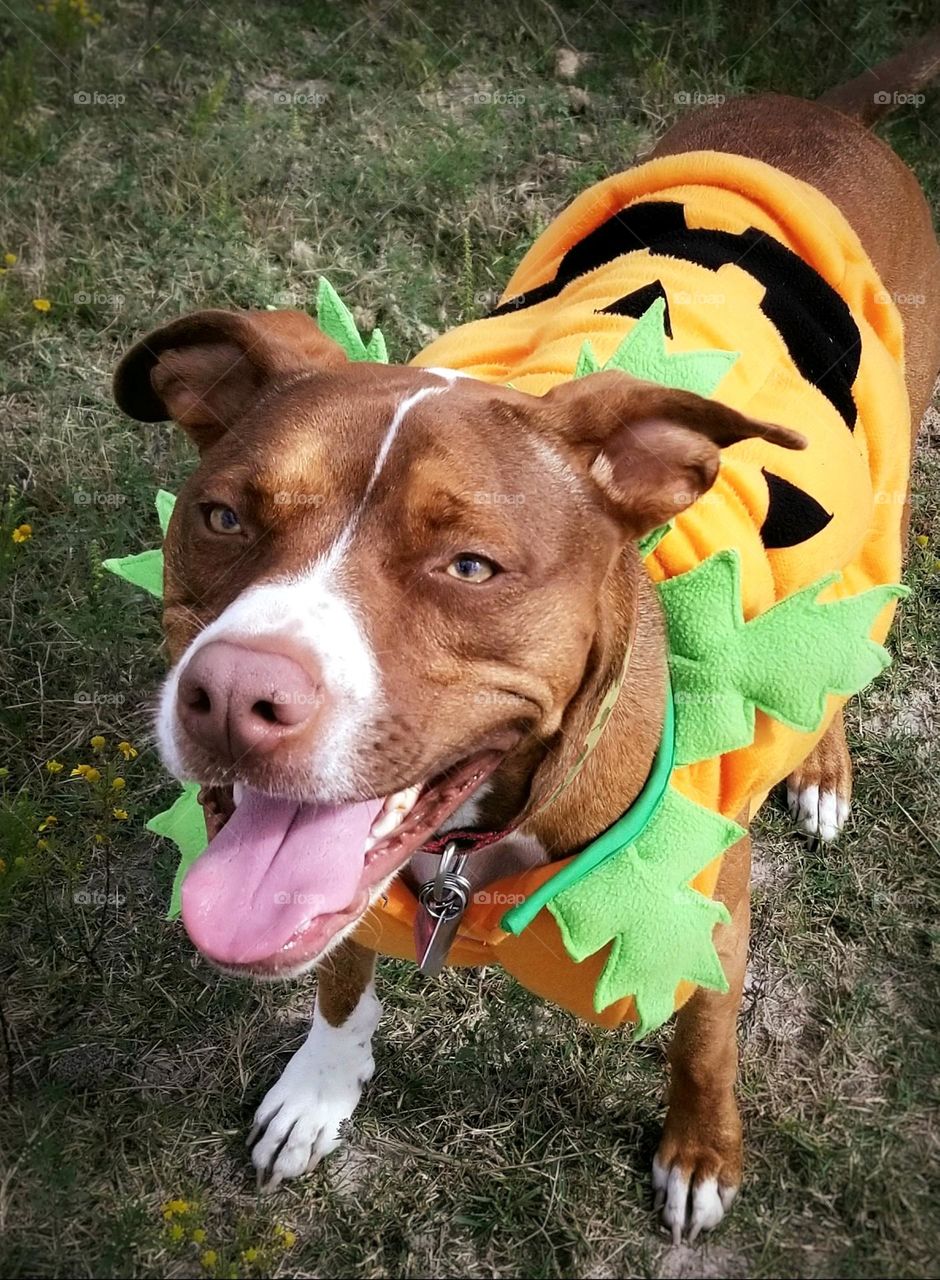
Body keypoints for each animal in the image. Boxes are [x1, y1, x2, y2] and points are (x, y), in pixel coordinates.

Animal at [113, 35, 937, 1244]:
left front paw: (700, 1153)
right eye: (220, 516)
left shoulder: (713, 908)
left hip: (884, 498)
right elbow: (338, 976)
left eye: (470, 567)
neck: (480, 843)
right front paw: (320, 1089)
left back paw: (821, 763)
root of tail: (819, 112)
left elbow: (705, 1039)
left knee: (840, 649)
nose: (230, 694)